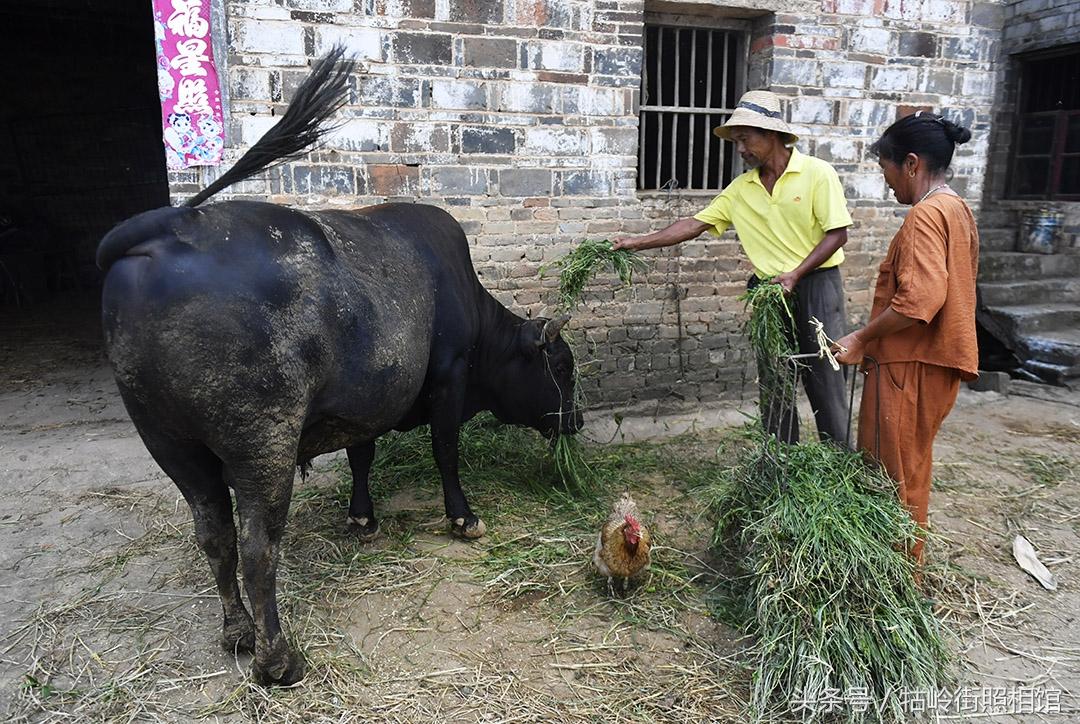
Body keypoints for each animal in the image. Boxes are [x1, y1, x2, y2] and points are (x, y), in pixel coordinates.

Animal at [97, 49, 578, 687]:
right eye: (564, 368)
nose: (576, 422)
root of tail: (171, 225)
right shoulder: (447, 379)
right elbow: (446, 449)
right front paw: (462, 517)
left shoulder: (363, 402)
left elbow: (361, 454)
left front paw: (361, 517)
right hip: (262, 443)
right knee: (257, 546)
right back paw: (277, 658)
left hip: (171, 443)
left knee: (215, 533)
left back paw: (237, 632)